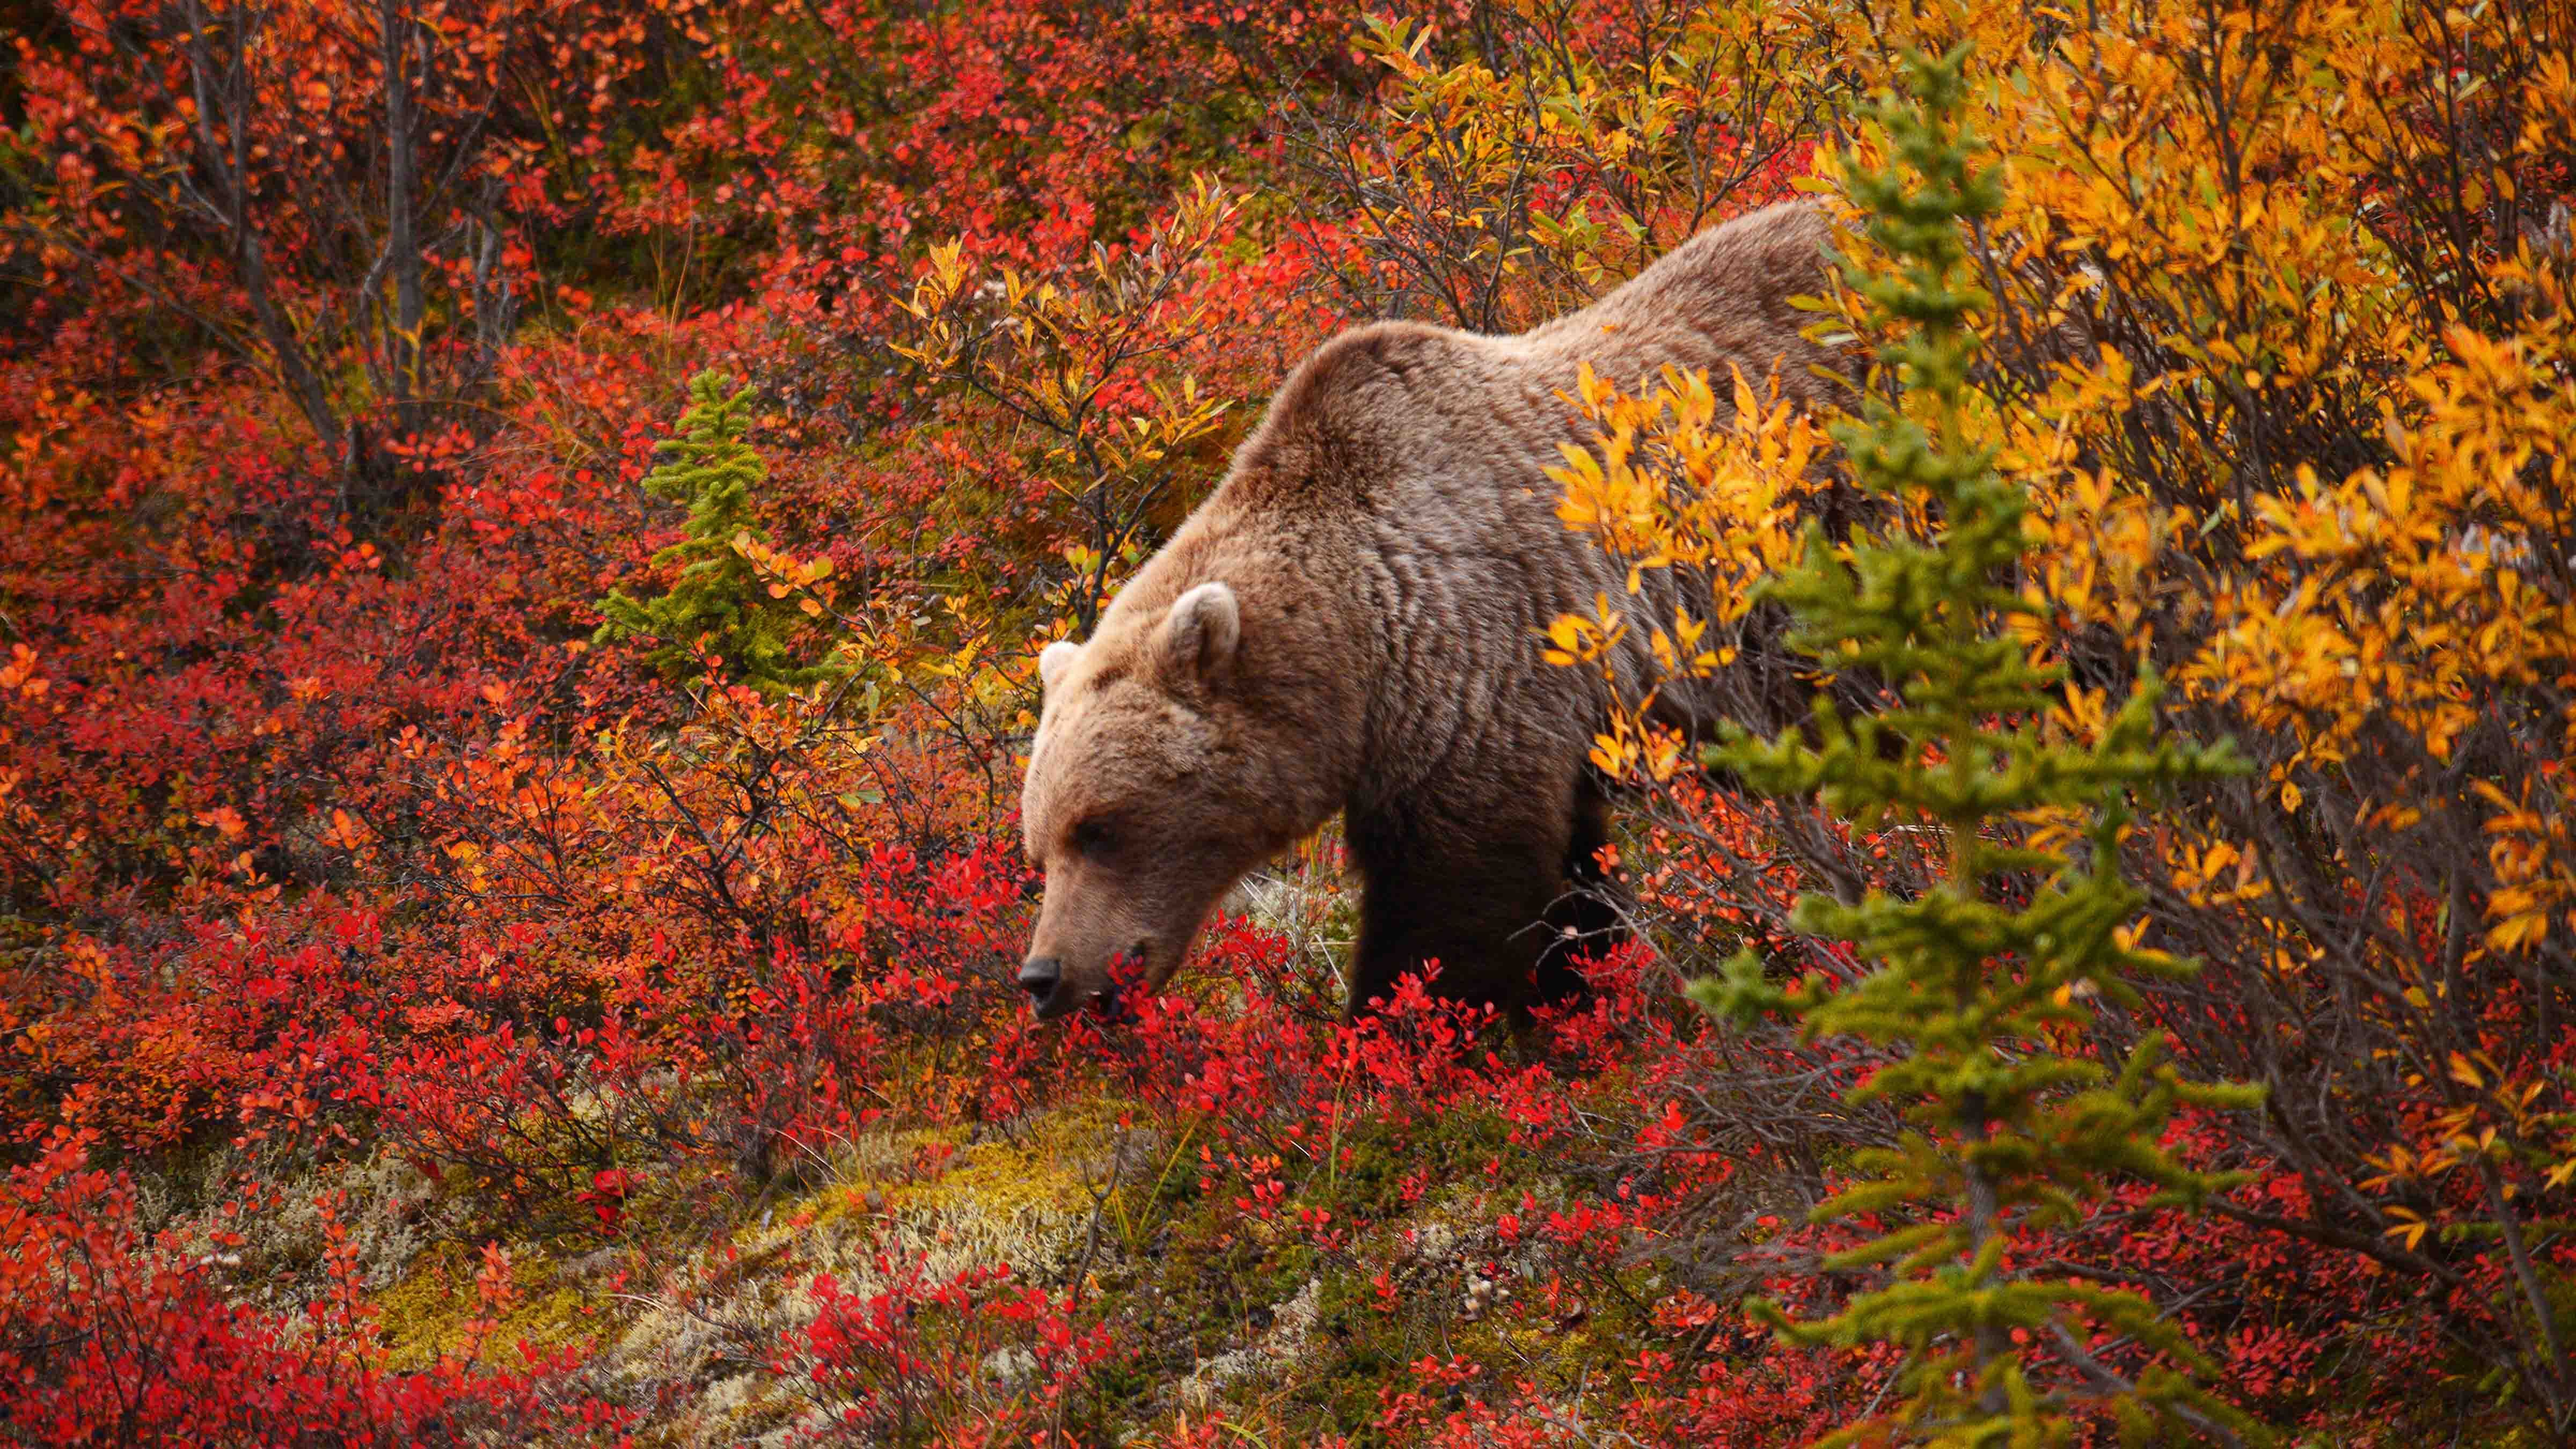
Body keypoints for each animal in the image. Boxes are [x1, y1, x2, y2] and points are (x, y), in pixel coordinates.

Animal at [1015, 197, 1844, 1021]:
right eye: (1038, 844)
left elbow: (1450, 908)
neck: (1358, 645)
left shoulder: (1478, 668)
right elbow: (1576, 890)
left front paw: (1405, 1029)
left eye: (1101, 827)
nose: (1044, 976)